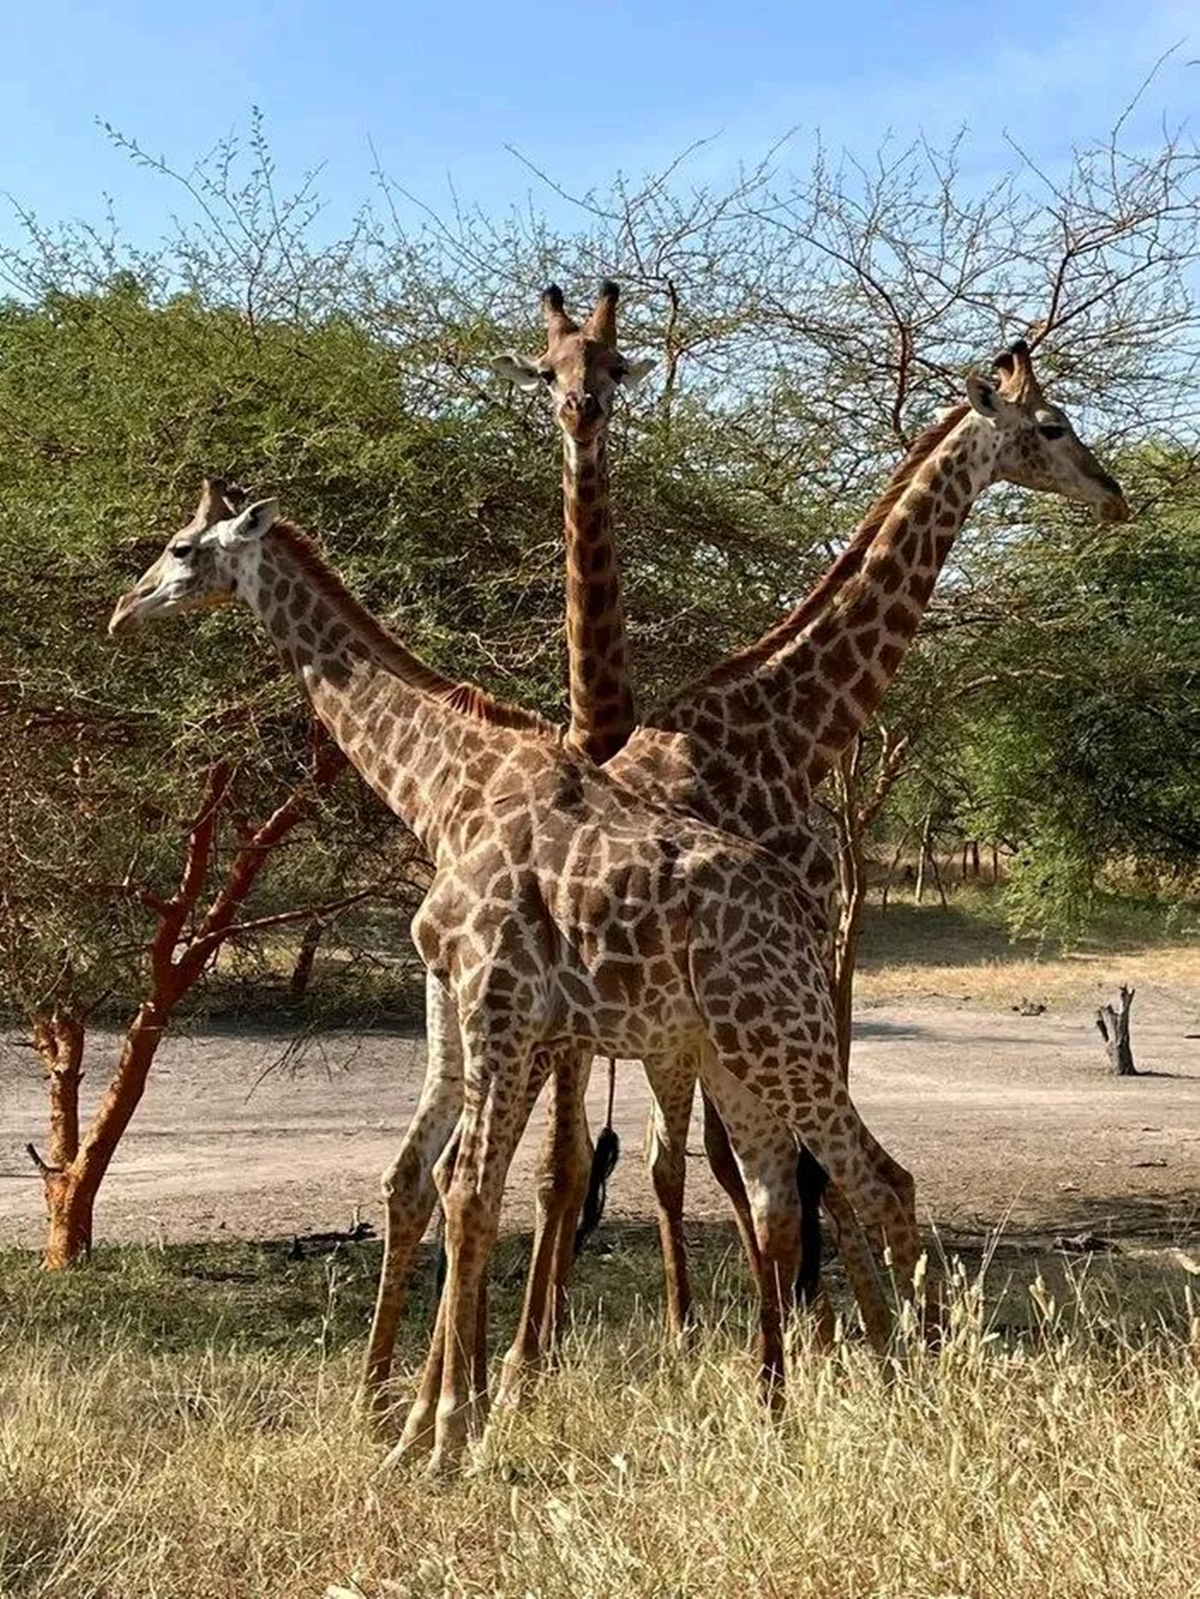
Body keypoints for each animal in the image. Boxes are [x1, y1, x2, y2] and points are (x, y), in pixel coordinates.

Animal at [110, 486, 921, 1471]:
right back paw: (813, 1398)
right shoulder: (475, 1004)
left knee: (879, 1178)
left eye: (183, 549)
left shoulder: (492, 998)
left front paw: (447, 1434)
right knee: (791, 1190)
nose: (124, 610)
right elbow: (457, 1184)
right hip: (740, 1051)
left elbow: (471, 1192)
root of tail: (807, 916)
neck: (443, 784)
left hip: (780, 1039)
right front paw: (433, 1421)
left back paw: (919, 1387)